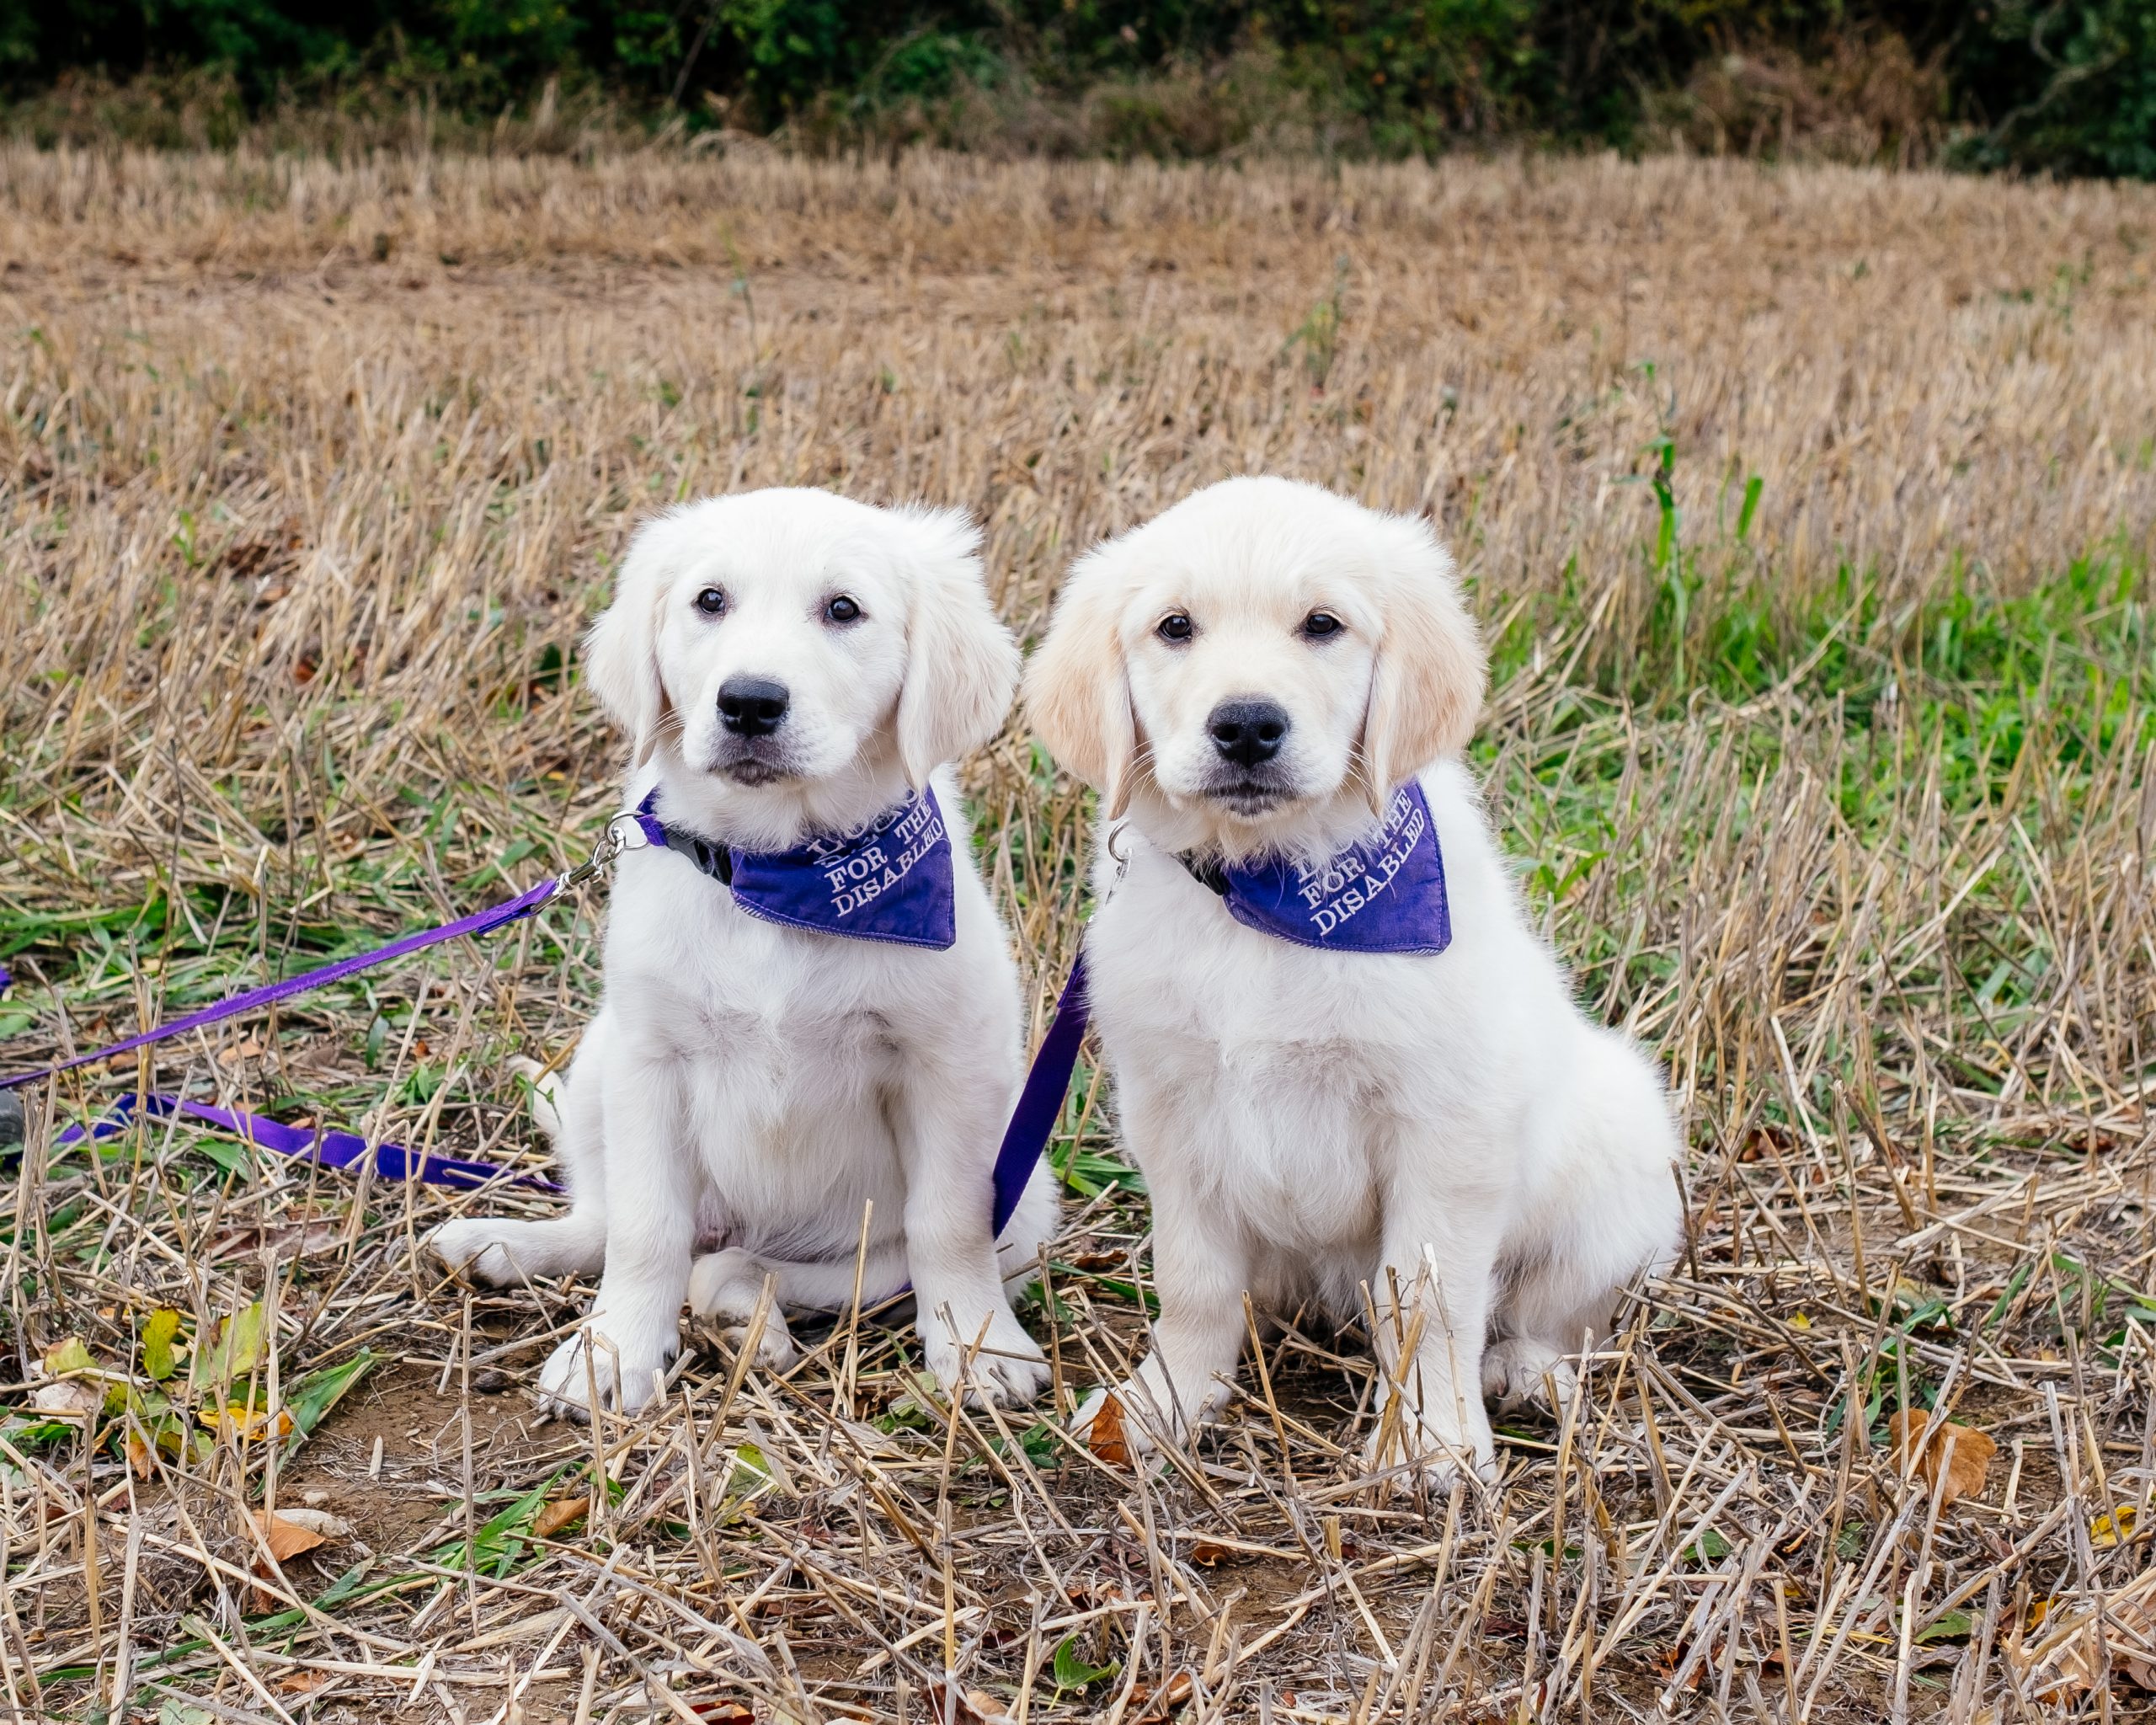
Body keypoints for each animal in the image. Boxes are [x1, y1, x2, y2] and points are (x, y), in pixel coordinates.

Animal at [426, 485, 1052, 1414]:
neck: (773, 872)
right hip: (599, 1060)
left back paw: (738, 1302)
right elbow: (645, 1228)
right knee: (617, 1225)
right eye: (710, 601)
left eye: (843, 609)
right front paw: (612, 1351)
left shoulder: (948, 1067)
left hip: (1025, 1189)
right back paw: (504, 1246)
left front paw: (978, 1347)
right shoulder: (651, 1060)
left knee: (810, 1266)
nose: (749, 703)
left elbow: (946, 1225)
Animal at [1026, 478, 1681, 1492]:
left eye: (1322, 624)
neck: (1266, 888)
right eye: (1174, 627)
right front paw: (1158, 1404)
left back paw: (1525, 1371)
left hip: (1615, 1157)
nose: (1246, 725)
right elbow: (1193, 1279)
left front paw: (1432, 1438)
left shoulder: (1447, 1126)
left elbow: (1431, 1298)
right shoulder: (1171, 1110)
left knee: (1558, 1312)